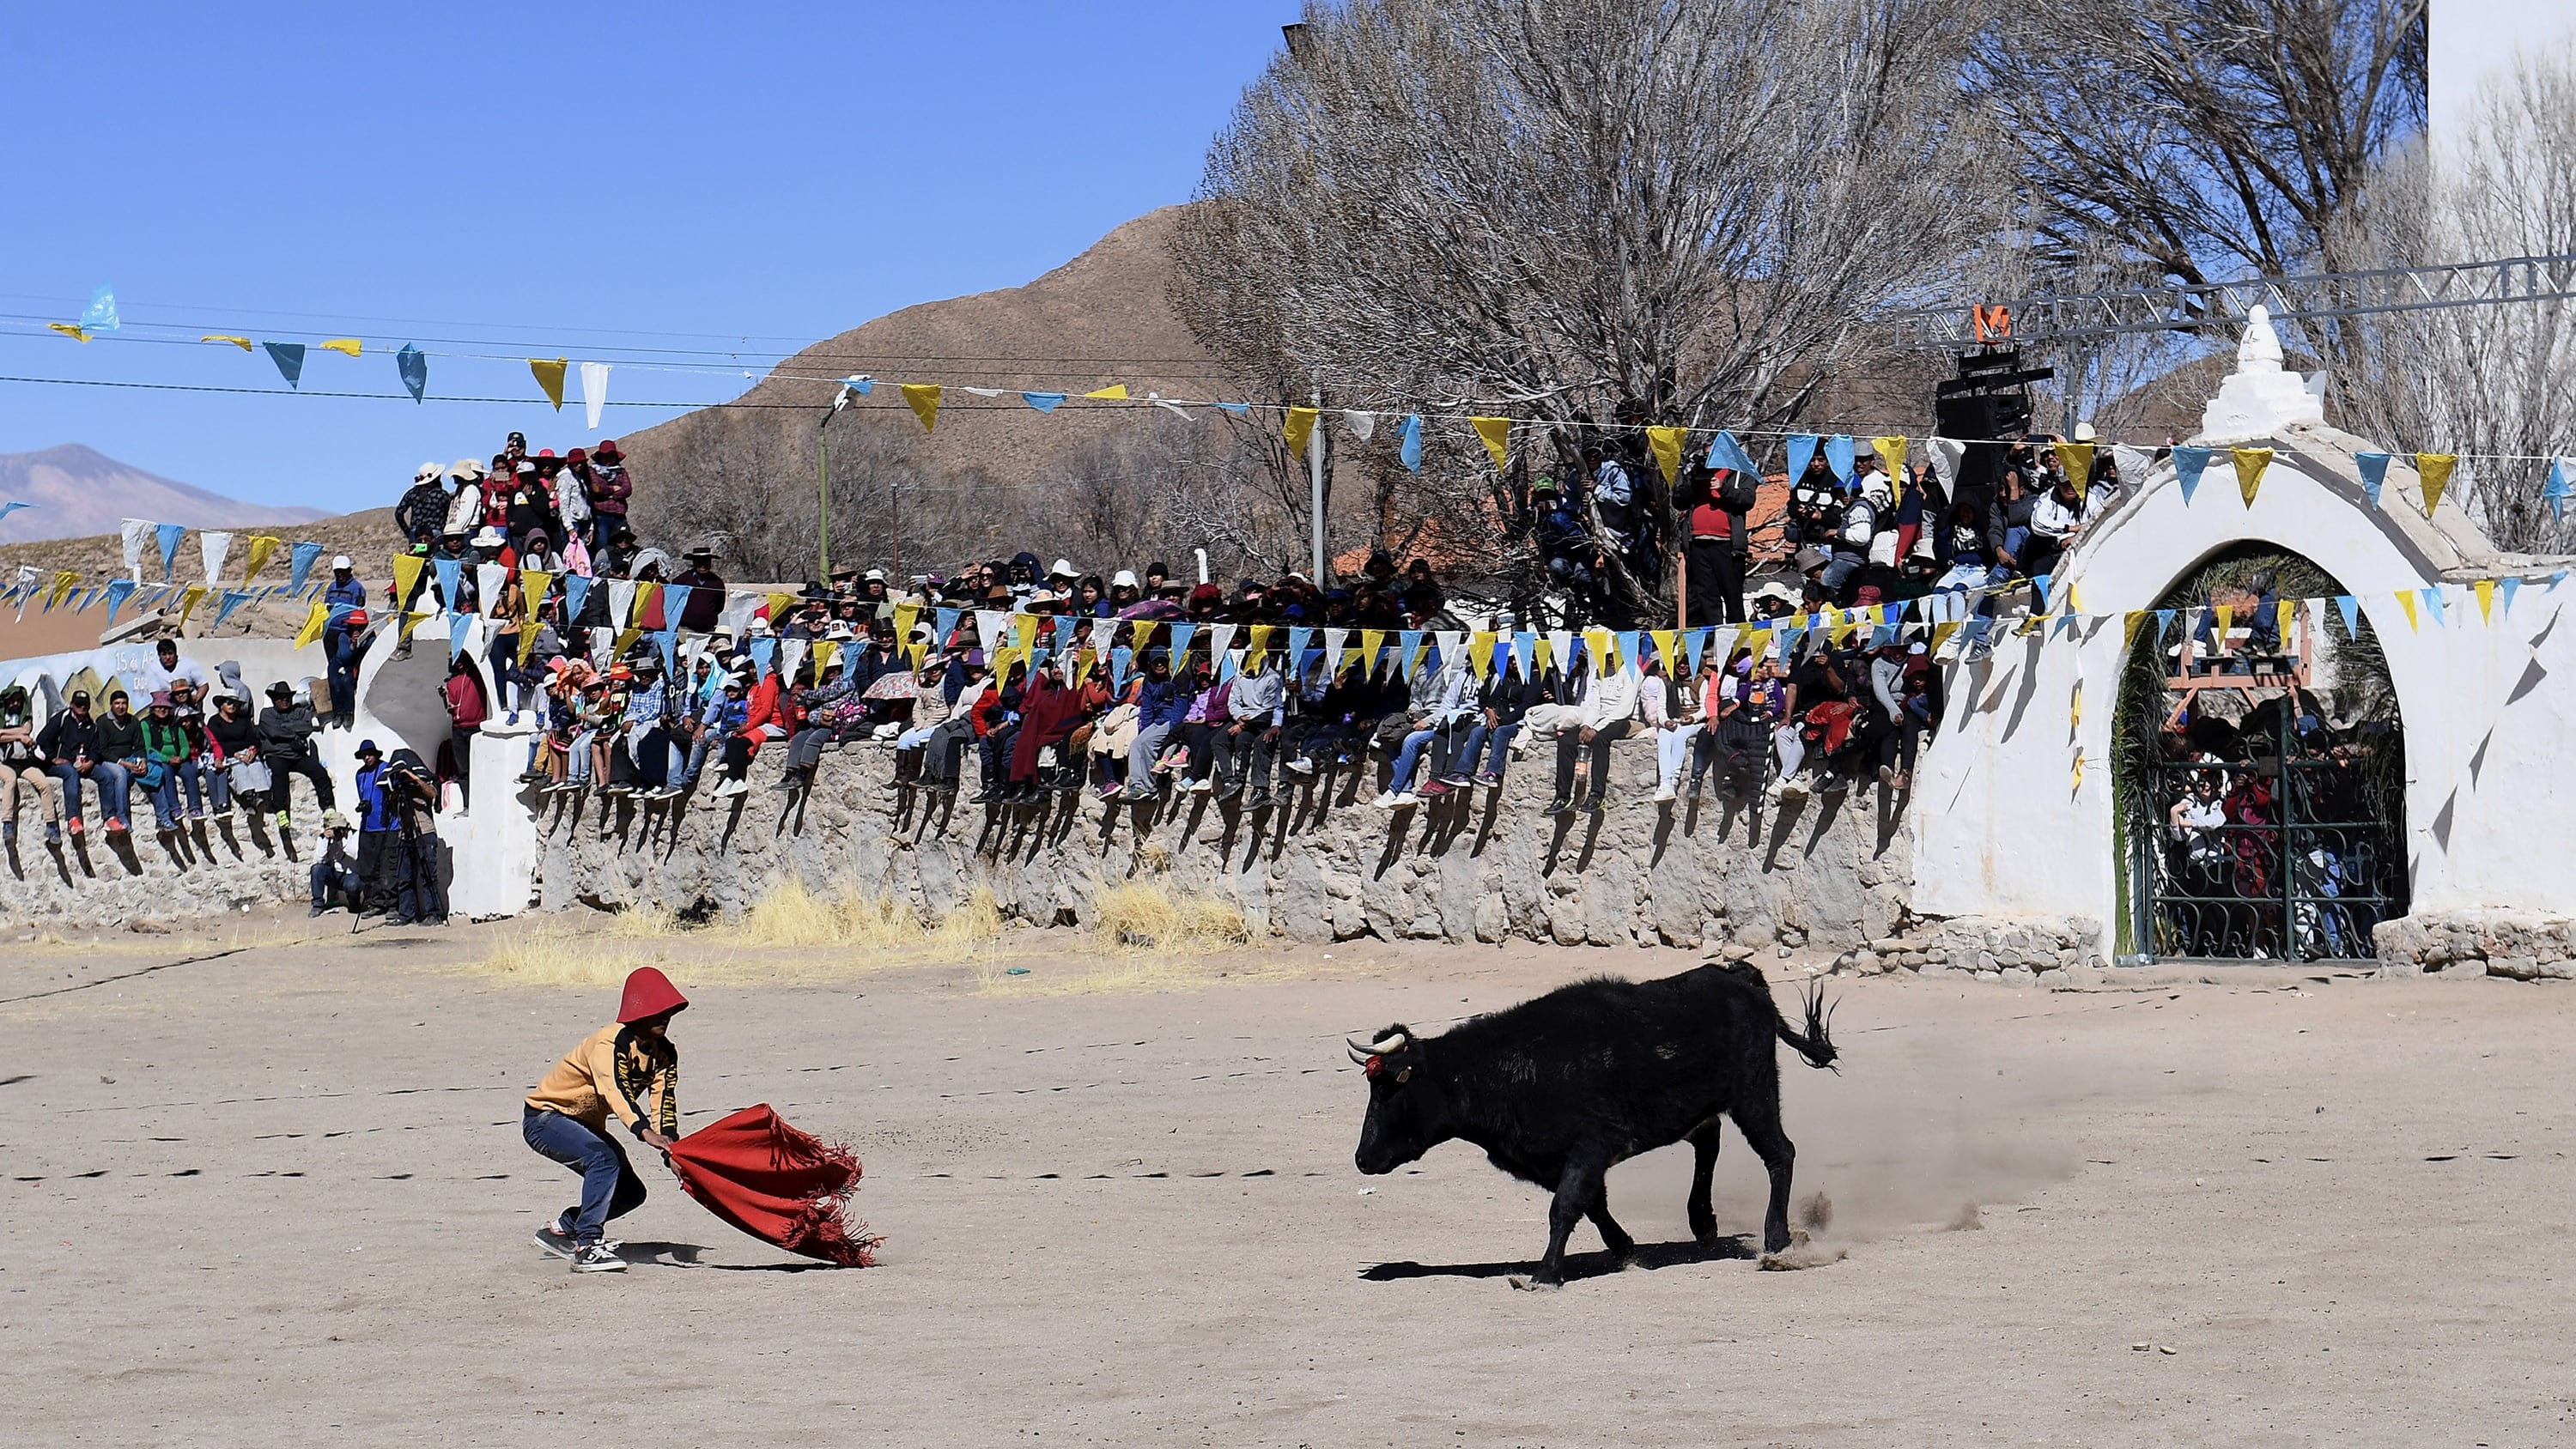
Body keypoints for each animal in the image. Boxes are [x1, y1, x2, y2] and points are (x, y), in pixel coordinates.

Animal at [1350, 962, 1834, 1282]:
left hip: (1754, 1093)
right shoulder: (1561, 1159)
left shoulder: (1591, 1146)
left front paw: (1545, 1274)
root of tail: (1738, 976)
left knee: (1779, 1153)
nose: (1361, 1159)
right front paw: (1623, 1248)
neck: (1503, 1070)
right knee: (1709, 1140)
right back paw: (1703, 1223)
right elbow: (1591, 1203)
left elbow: (1564, 1207)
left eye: (1389, 1089)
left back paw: (1776, 1241)